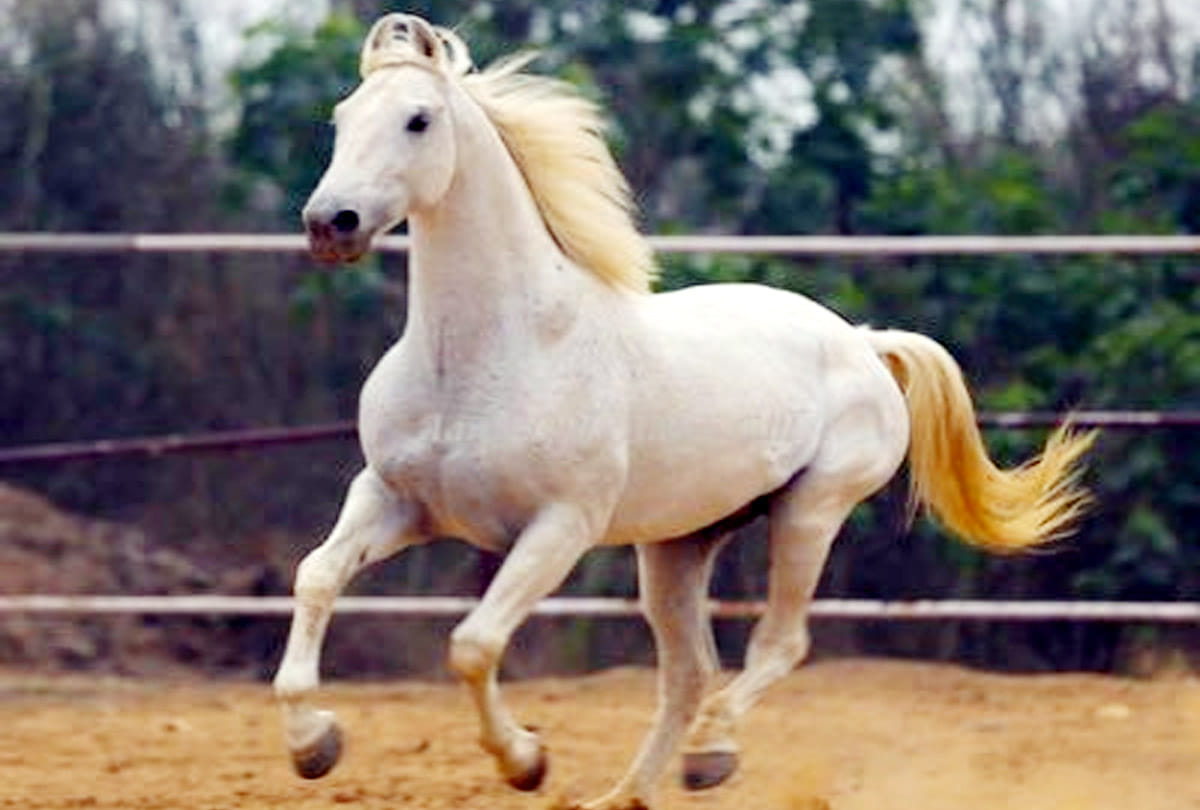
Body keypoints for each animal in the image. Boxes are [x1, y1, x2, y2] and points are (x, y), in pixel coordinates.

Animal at [273, 13, 1094, 810]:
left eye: (418, 119)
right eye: (342, 117)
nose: (330, 223)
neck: (485, 356)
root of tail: (863, 342)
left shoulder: (558, 527)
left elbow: (472, 646)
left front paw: (526, 762)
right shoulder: (394, 500)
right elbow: (316, 577)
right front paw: (315, 745)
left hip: (811, 512)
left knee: (776, 646)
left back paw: (710, 755)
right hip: (679, 544)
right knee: (689, 672)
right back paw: (625, 795)